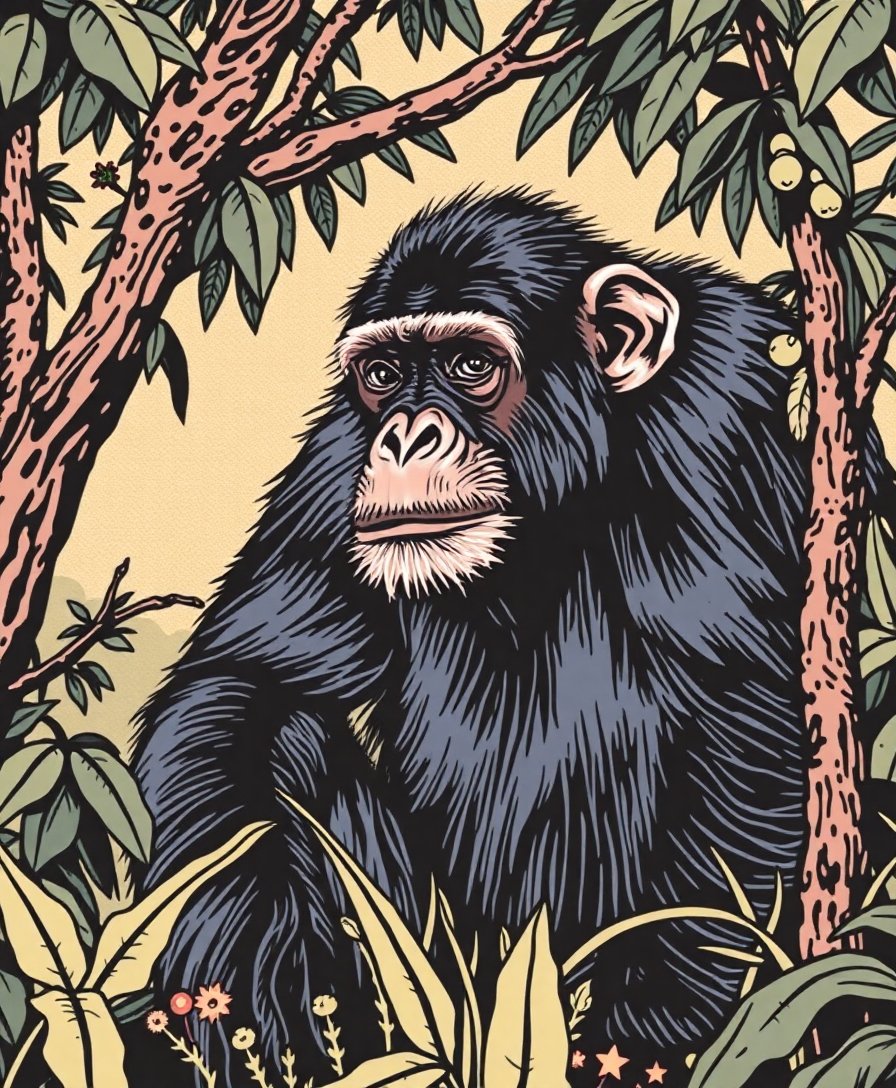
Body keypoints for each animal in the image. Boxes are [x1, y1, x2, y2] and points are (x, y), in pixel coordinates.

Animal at [132, 189, 829, 1086]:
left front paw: (639, 1037)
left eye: (469, 364)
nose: (405, 435)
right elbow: (250, 675)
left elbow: (744, 714)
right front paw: (256, 938)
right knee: (302, 744)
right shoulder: (336, 457)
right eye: (385, 375)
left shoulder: (727, 414)